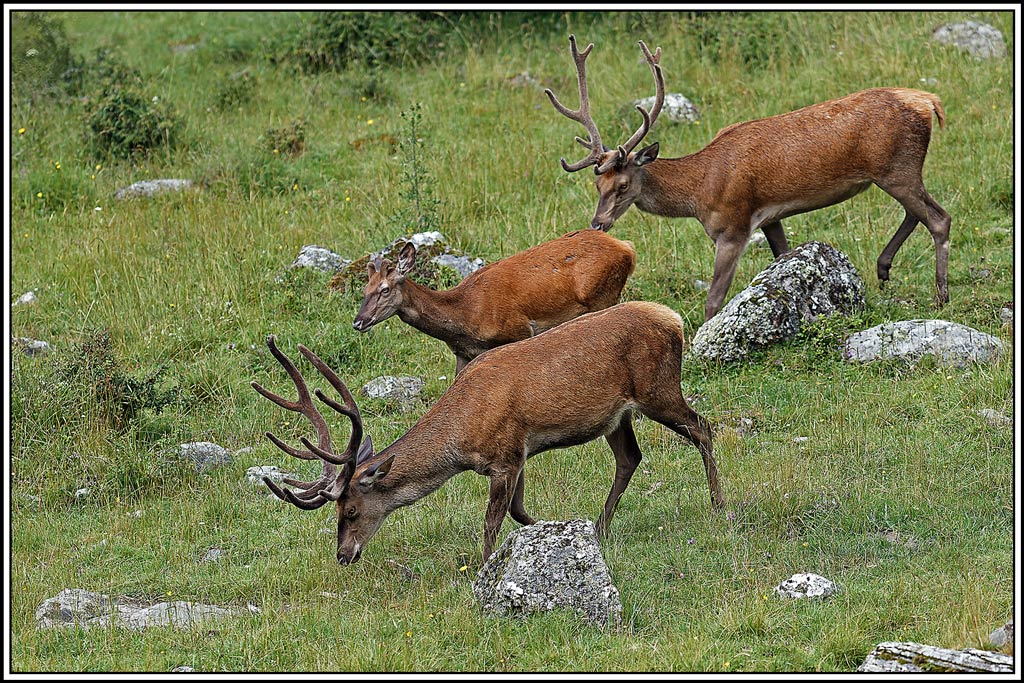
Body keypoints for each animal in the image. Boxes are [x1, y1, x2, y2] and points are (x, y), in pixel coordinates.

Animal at [252, 301, 723, 566]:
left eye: (349, 510)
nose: (342, 556)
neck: (463, 438)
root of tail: (676, 320)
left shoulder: (505, 454)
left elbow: (492, 522)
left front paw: (485, 568)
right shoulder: (520, 452)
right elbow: (518, 510)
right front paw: (562, 531)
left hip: (658, 388)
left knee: (702, 428)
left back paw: (721, 507)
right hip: (617, 416)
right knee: (630, 457)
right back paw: (603, 527)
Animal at [351, 229, 636, 374]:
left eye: (385, 289)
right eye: (365, 289)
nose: (358, 322)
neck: (465, 315)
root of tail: (627, 247)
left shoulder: (519, 330)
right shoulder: (463, 353)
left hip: (603, 295)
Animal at [545, 35, 951, 321]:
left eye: (624, 184)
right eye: (597, 184)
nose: (598, 224)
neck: (699, 191)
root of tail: (929, 101)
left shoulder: (733, 226)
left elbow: (713, 301)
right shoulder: (769, 216)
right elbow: (786, 257)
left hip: (897, 168)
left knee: (939, 218)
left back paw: (940, 296)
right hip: (898, 171)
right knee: (917, 212)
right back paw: (883, 268)